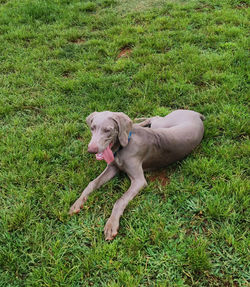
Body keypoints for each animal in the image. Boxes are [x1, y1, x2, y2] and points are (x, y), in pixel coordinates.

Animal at [69, 110, 205, 241]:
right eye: (92, 128)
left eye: (108, 130)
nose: (91, 150)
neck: (124, 144)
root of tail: (196, 114)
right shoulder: (113, 167)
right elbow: (92, 183)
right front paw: (77, 203)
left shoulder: (139, 181)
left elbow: (120, 201)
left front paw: (111, 224)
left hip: (162, 124)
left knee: (156, 117)